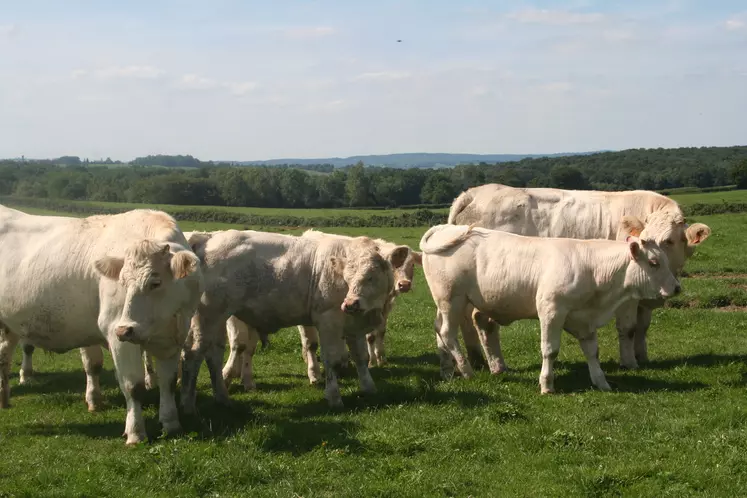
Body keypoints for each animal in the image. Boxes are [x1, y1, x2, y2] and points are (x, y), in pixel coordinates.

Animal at [0, 206, 203, 444]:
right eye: (122, 283)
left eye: (155, 282)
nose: (125, 329)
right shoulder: (116, 334)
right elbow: (132, 386)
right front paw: (135, 432)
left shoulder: (172, 338)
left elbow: (168, 382)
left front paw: (171, 423)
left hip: (9, 325)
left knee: (4, 356)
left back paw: (4, 398)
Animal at [180, 230, 404, 408]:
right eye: (348, 277)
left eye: (371, 276)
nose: (350, 304)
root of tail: (209, 237)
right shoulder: (328, 320)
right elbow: (331, 359)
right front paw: (333, 397)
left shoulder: (354, 325)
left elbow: (361, 357)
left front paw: (369, 387)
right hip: (208, 316)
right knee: (193, 354)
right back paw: (189, 405)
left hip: (218, 319)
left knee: (214, 355)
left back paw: (222, 397)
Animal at [420, 223, 684, 392]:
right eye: (654, 262)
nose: (676, 288)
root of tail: (444, 227)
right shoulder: (551, 311)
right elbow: (550, 350)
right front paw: (547, 384)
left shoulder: (584, 318)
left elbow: (592, 351)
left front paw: (601, 382)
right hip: (452, 299)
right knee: (448, 332)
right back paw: (466, 370)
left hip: (443, 302)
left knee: (438, 329)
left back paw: (447, 370)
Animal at [450, 185, 712, 372]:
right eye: (643, 238)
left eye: (669, 240)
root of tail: (476, 192)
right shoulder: (627, 296)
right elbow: (628, 328)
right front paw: (630, 362)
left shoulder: (645, 299)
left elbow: (642, 327)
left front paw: (642, 356)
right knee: (481, 321)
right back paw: (496, 366)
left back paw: (478, 362)